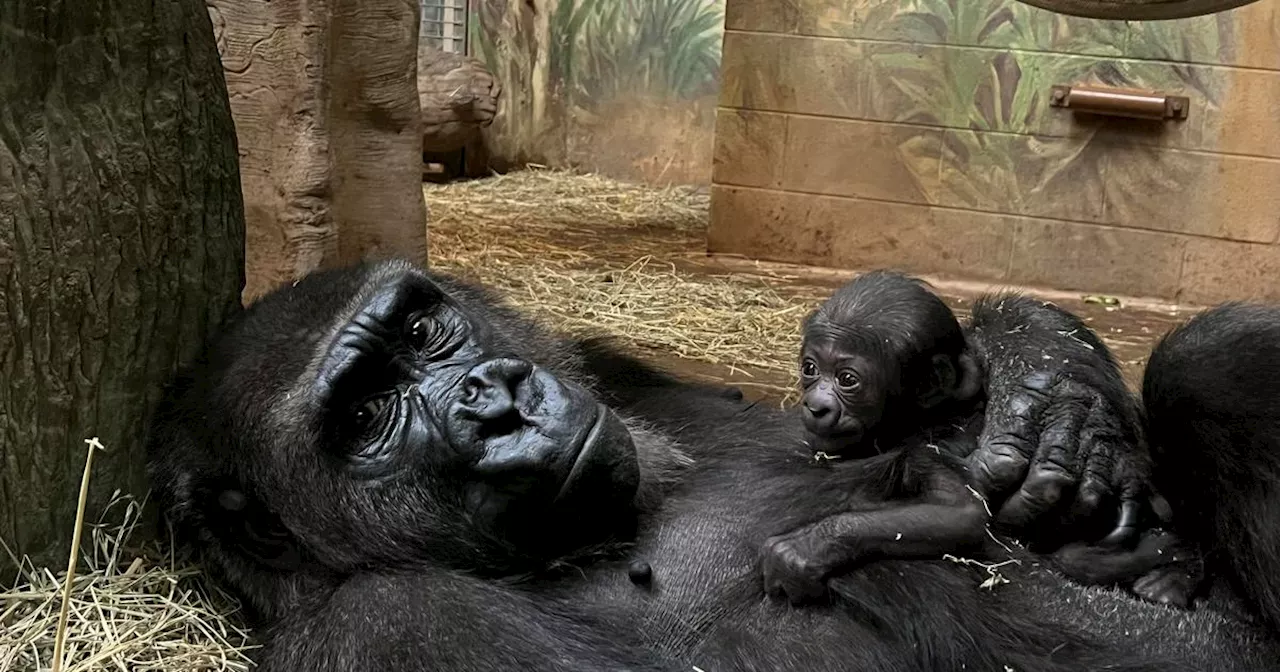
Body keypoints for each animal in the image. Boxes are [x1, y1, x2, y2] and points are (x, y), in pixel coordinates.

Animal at [757, 270, 988, 599]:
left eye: (847, 379)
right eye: (810, 369)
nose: (816, 406)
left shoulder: (931, 448)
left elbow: (961, 511)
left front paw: (806, 547)